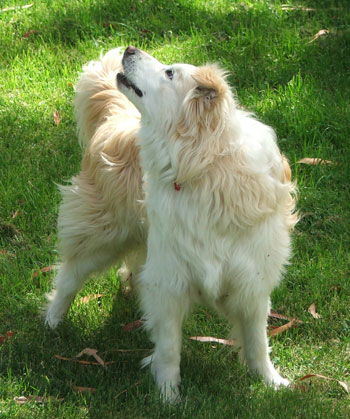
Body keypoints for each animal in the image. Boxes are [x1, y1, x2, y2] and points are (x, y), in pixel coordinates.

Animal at [44, 46, 298, 404]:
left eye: (169, 73)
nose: (129, 48)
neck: (205, 167)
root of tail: (118, 120)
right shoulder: (169, 282)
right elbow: (168, 348)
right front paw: (168, 395)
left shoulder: (251, 281)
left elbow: (257, 341)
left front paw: (270, 382)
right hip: (100, 237)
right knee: (69, 277)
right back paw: (52, 323)